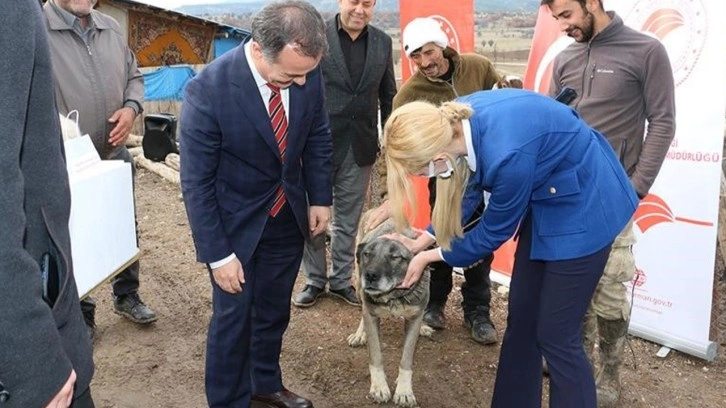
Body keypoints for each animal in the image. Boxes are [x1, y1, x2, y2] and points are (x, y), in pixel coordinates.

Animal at [346, 212, 432, 406]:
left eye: (395, 257)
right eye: (367, 254)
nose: (370, 275)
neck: (393, 295)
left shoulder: (413, 318)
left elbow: (406, 360)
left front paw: (404, 391)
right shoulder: (371, 315)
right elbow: (376, 356)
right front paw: (379, 387)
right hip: (359, 286)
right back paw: (359, 334)